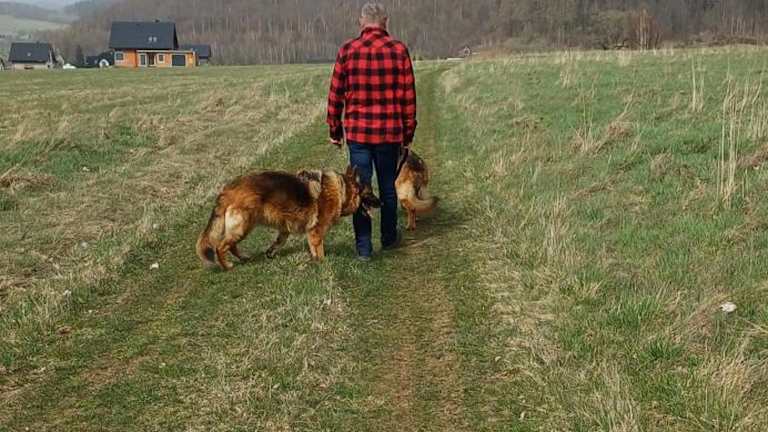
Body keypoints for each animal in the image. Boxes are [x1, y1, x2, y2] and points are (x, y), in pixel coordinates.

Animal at [197, 165, 380, 270]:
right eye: (370, 193)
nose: (382, 202)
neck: (342, 190)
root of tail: (228, 190)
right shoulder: (315, 232)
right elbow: (319, 250)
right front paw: (322, 264)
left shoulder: (285, 228)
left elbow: (280, 241)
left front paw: (271, 253)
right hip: (243, 225)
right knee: (221, 246)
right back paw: (227, 265)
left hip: (243, 226)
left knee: (231, 245)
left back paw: (243, 258)